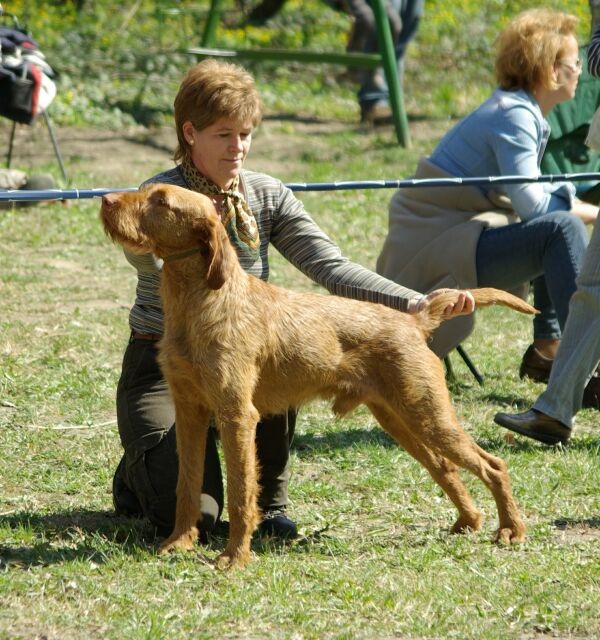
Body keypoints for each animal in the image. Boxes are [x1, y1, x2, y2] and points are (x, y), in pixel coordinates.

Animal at [101, 182, 532, 568]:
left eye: (161, 200)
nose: (106, 200)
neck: (200, 302)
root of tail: (413, 320)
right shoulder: (190, 412)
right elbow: (187, 486)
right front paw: (179, 543)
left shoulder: (236, 415)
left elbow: (241, 493)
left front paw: (235, 557)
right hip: (399, 418)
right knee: (445, 466)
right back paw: (468, 521)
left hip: (428, 415)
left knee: (492, 465)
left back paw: (510, 529)